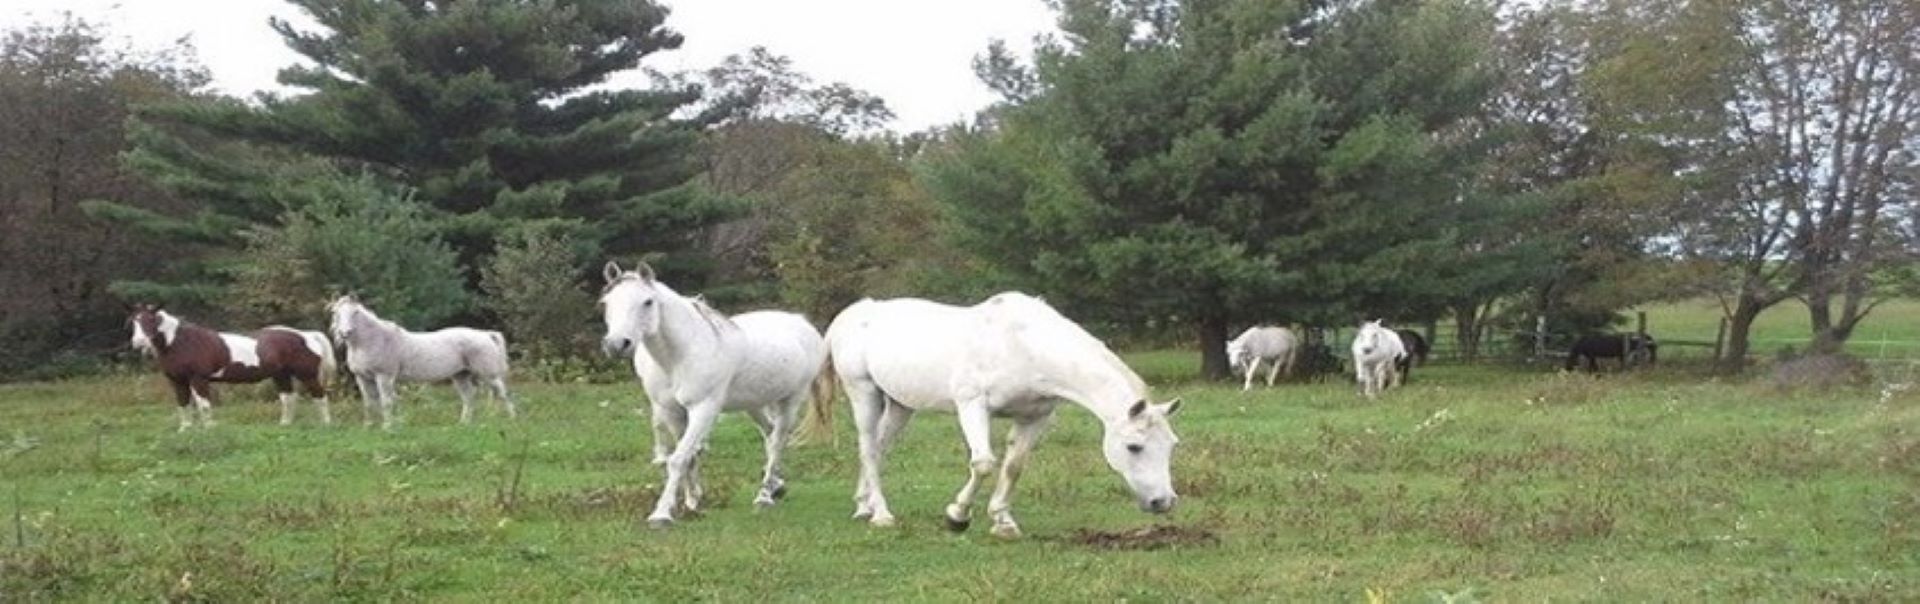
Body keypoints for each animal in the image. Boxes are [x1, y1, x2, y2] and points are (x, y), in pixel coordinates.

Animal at [127, 306, 337, 431]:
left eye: (150, 321)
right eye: (134, 322)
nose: (137, 343)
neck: (182, 342)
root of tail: (306, 335)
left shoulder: (198, 379)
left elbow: (203, 405)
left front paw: (209, 429)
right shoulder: (177, 381)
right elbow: (183, 404)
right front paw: (185, 430)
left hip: (307, 375)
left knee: (320, 396)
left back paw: (326, 424)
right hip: (281, 375)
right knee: (288, 399)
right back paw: (285, 424)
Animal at [326, 295, 518, 431]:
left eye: (355, 313)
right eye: (336, 313)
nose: (345, 333)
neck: (374, 340)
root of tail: (485, 334)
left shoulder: (384, 377)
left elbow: (386, 402)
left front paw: (388, 427)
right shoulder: (363, 378)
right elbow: (369, 403)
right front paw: (369, 427)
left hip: (489, 375)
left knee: (503, 393)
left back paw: (513, 420)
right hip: (460, 376)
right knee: (469, 397)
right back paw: (463, 424)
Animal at [599, 260, 833, 529]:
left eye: (647, 301)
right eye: (606, 302)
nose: (617, 344)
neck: (682, 355)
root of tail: (803, 323)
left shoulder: (703, 409)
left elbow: (678, 458)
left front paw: (661, 515)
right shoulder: (672, 412)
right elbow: (688, 456)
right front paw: (692, 503)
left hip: (790, 401)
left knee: (776, 442)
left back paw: (764, 497)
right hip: (755, 404)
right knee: (770, 433)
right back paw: (777, 487)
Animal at [829, 293, 1182, 540]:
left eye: (1171, 446)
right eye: (1134, 447)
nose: (1163, 502)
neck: (1023, 346)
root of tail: (854, 315)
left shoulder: (1034, 417)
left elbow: (1014, 467)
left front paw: (1003, 521)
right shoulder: (972, 405)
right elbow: (984, 464)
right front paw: (957, 516)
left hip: (901, 405)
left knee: (878, 449)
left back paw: (864, 506)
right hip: (864, 394)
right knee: (868, 449)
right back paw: (881, 515)